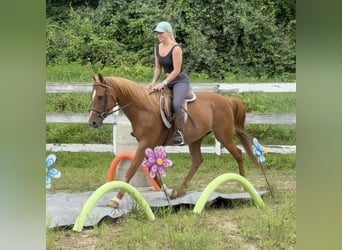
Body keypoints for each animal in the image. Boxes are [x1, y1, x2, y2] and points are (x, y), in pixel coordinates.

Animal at [88, 73, 260, 207]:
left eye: (100, 97)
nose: (92, 122)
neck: (142, 109)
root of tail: (226, 100)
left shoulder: (145, 143)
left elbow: (131, 169)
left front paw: (115, 199)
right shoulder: (150, 145)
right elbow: (152, 171)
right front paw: (168, 191)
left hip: (223, 136)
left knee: (238, 154)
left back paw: (244, 184)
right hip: (196, 138)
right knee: (197, 160)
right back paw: (181, 190)